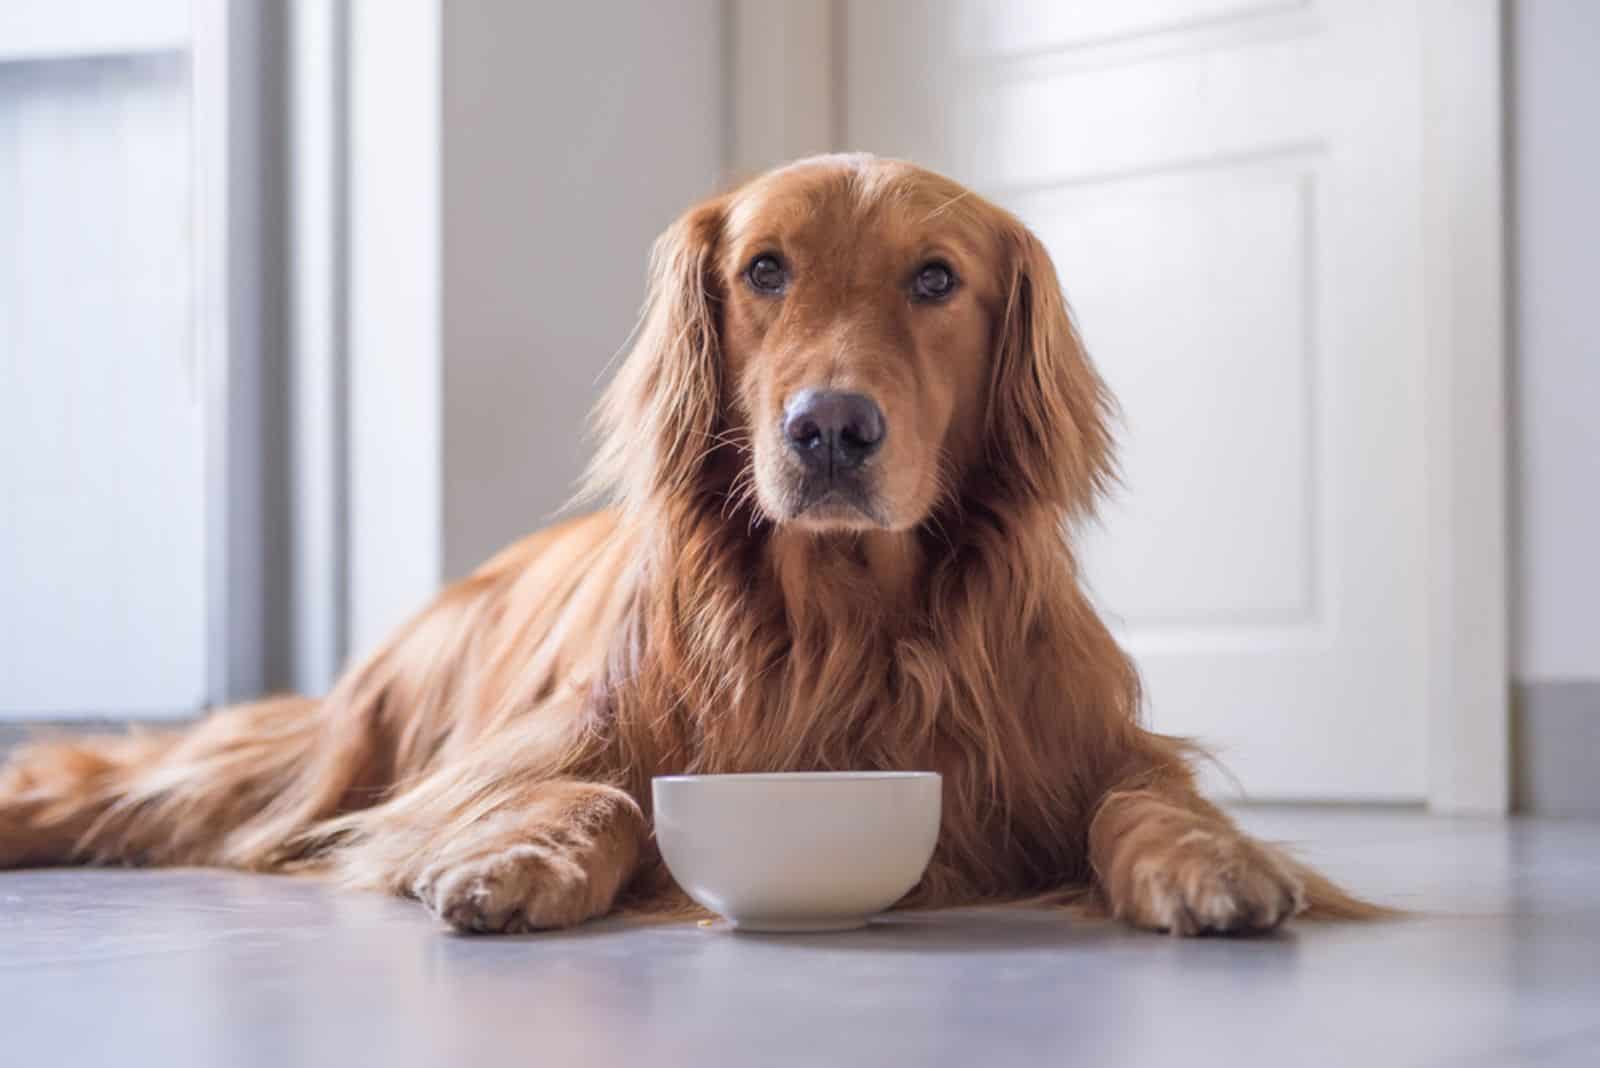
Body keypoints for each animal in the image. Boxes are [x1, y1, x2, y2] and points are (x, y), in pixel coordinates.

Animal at [0, 156, 1376, 933]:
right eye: (764, 268)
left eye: (936, 280)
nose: (829, 430)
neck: (846, 622)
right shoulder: (521, 757)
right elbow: (600, 791)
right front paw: (523, 860)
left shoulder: (1086, 744)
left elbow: (1139, 803)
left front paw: (1212, 862)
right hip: (330, 756)